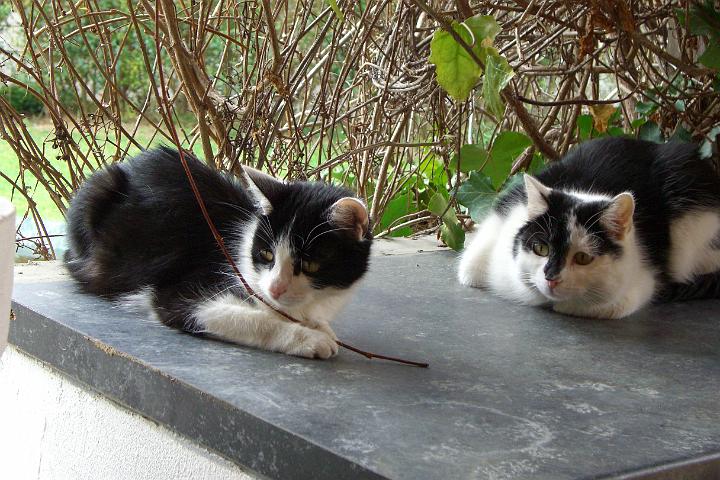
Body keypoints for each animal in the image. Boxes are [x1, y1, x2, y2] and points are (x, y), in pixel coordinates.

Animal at [64, 148, 374, 358]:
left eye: (309, 264)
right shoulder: (178, 291)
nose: (274, 288)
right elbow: (246, 318)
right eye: (267, 255)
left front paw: (319, 326)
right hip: (99, 190)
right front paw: (310, 338)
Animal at [458, 137, 720, 318]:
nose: (551, 277)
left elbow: (604, 304)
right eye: (541, 248)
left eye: (583, 258)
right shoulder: (480, 254)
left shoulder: (640, 283)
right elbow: (469, 270)